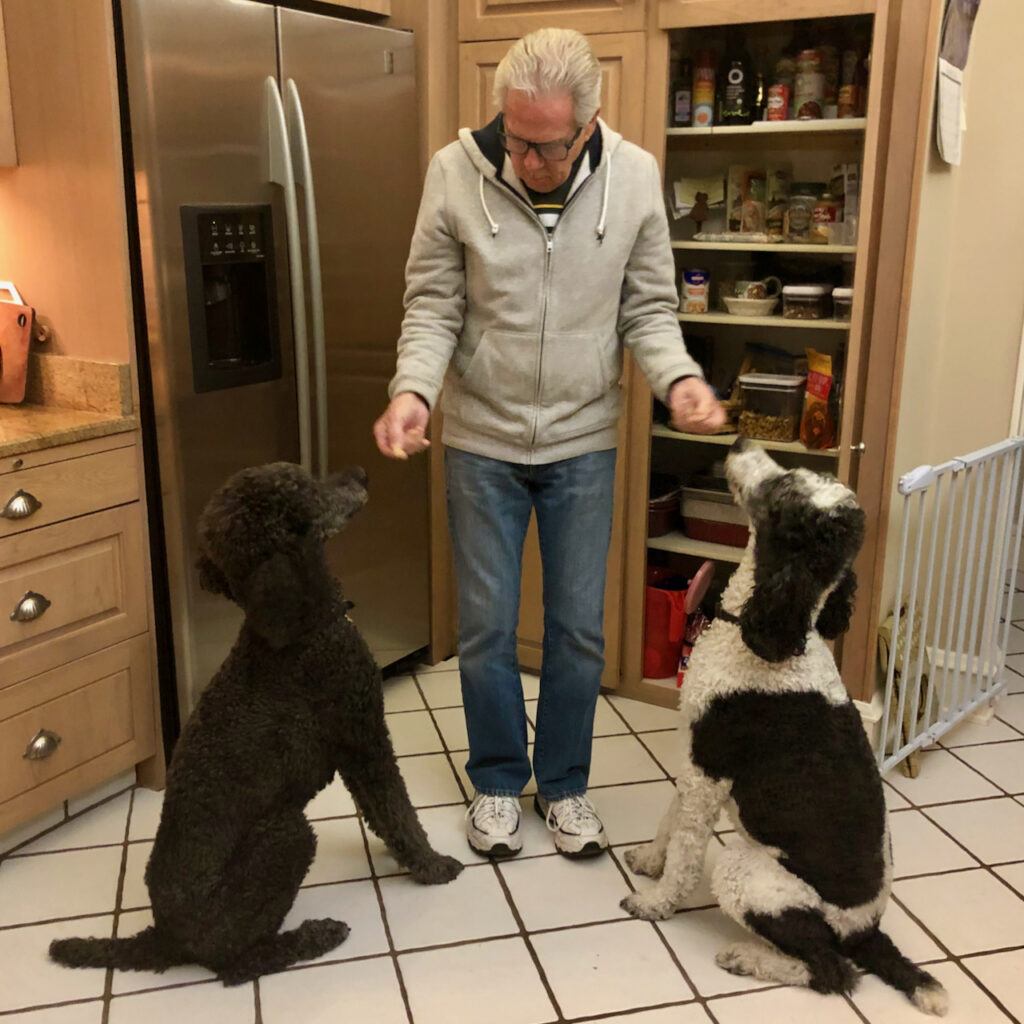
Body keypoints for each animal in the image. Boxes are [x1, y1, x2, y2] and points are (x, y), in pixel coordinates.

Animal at [51, 462, 460, 983]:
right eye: (309, 493)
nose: (361, 471)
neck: (297, 630)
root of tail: (163, 937)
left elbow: (382, 813)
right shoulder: (364, 737)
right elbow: (399, 811)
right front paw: (431, 865)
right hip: (286, 835)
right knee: (238, 963)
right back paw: (313, 937)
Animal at [618, 440, 946, 1015]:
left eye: (781, 491)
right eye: (798, 475)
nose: (738, 443)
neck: (762, 635)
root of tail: (868, 931)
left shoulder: (709, 768)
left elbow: (685, 852)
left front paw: (656, 901)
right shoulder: (694, 757)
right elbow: (669, 820)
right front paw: (650, 859)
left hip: (748, 874)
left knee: (834, 972)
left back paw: (746, 957)